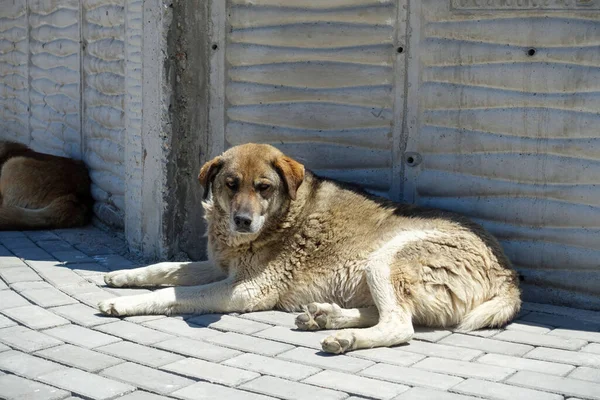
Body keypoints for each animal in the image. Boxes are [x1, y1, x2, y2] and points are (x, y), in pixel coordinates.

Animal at [99, 143, 520, 354]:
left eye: (264, 187)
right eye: (231, 184)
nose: (242, 221)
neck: (283, 215)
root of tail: (508, 274)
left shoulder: (246, 290)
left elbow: (175, 294)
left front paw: (124, 303)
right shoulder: (221, 268)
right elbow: (165, 269)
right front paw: (121, 276)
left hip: (385, 259)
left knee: (401, 326)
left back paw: (344, 337)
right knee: (393, 315)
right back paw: (326, 317)